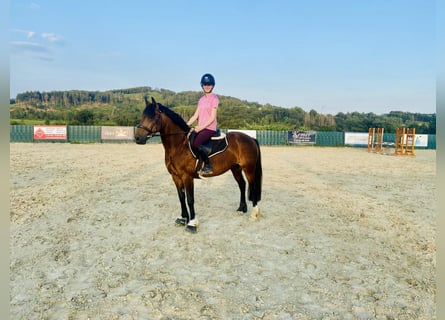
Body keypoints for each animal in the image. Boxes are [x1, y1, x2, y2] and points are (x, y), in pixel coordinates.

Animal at [134, 95, 262, 232]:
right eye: (143, 116)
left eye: (153, 117)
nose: (138, 138)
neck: (179, 145)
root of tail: (250, 138)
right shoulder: (175, 177)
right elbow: (181, 197)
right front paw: (182, 218)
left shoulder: (187, 177)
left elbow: (190, 199)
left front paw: (192, 223)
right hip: (236, 168)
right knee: (242, 185)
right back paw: (241, 209)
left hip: (249, 168)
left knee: (252, 187)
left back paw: (254, 213)